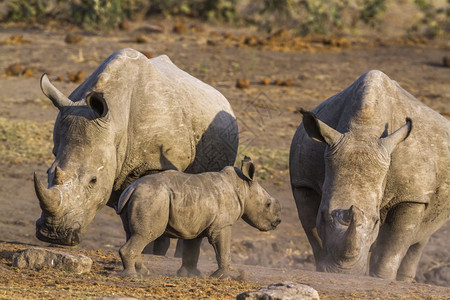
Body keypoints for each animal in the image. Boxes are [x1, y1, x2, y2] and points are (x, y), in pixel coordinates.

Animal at [114, 157, 280, 278]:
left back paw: (143, 272)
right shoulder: (222, 225)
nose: (277, 222)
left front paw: (190, 275)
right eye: (268, 204)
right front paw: (220, 277)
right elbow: (224, 250)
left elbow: (192, 250)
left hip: (143, 197)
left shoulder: (196, 223)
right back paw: (132, 276)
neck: (243, 187)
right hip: (153, 198)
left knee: (133, 233)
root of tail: (132, 188)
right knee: (145, 234)